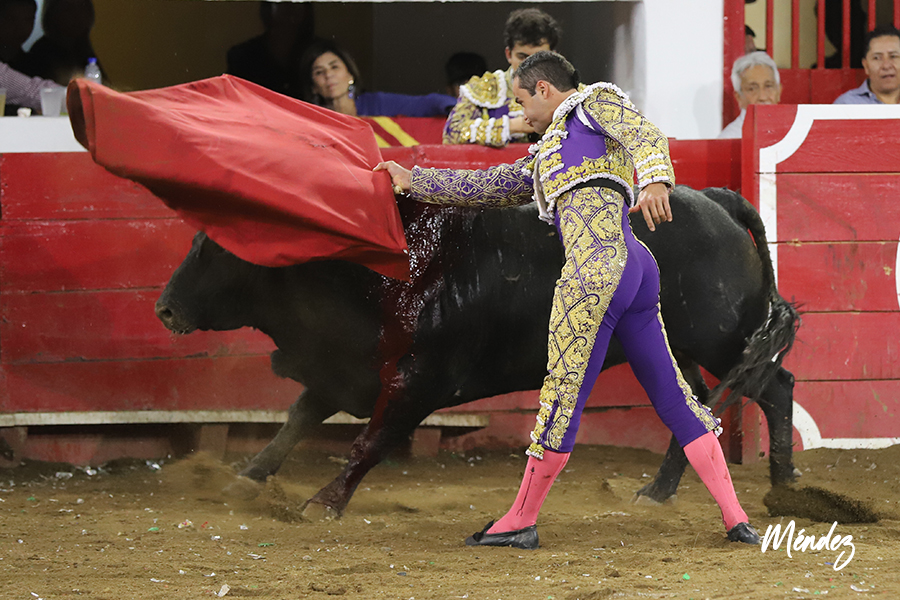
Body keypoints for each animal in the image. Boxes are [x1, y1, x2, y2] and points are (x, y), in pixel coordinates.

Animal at [155, 185, 799, 517]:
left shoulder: (419, 382)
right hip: (676, 347)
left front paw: (324, 501)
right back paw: (663, 491)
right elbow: (299, 417)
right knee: (698, 407)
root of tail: (715, 201)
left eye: (217, 248)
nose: (163, 308)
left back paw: (785, 481)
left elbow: (371, 440)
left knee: (773, 386)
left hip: (720, 338)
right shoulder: (346, 368)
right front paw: (247, 477)